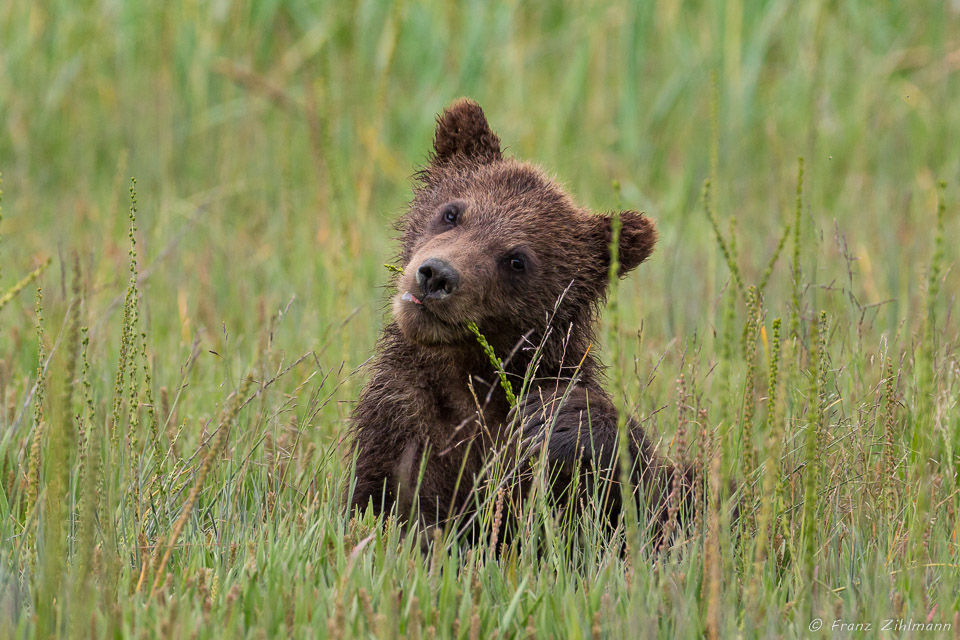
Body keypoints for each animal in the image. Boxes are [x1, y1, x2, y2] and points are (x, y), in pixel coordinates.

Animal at [348, 99, 692, 544]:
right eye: (452, 212)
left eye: (516, 260)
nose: (436, 275)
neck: (472, 377)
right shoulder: (400, 425)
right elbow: (385, 507)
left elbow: (644, 512)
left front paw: (562, 418)